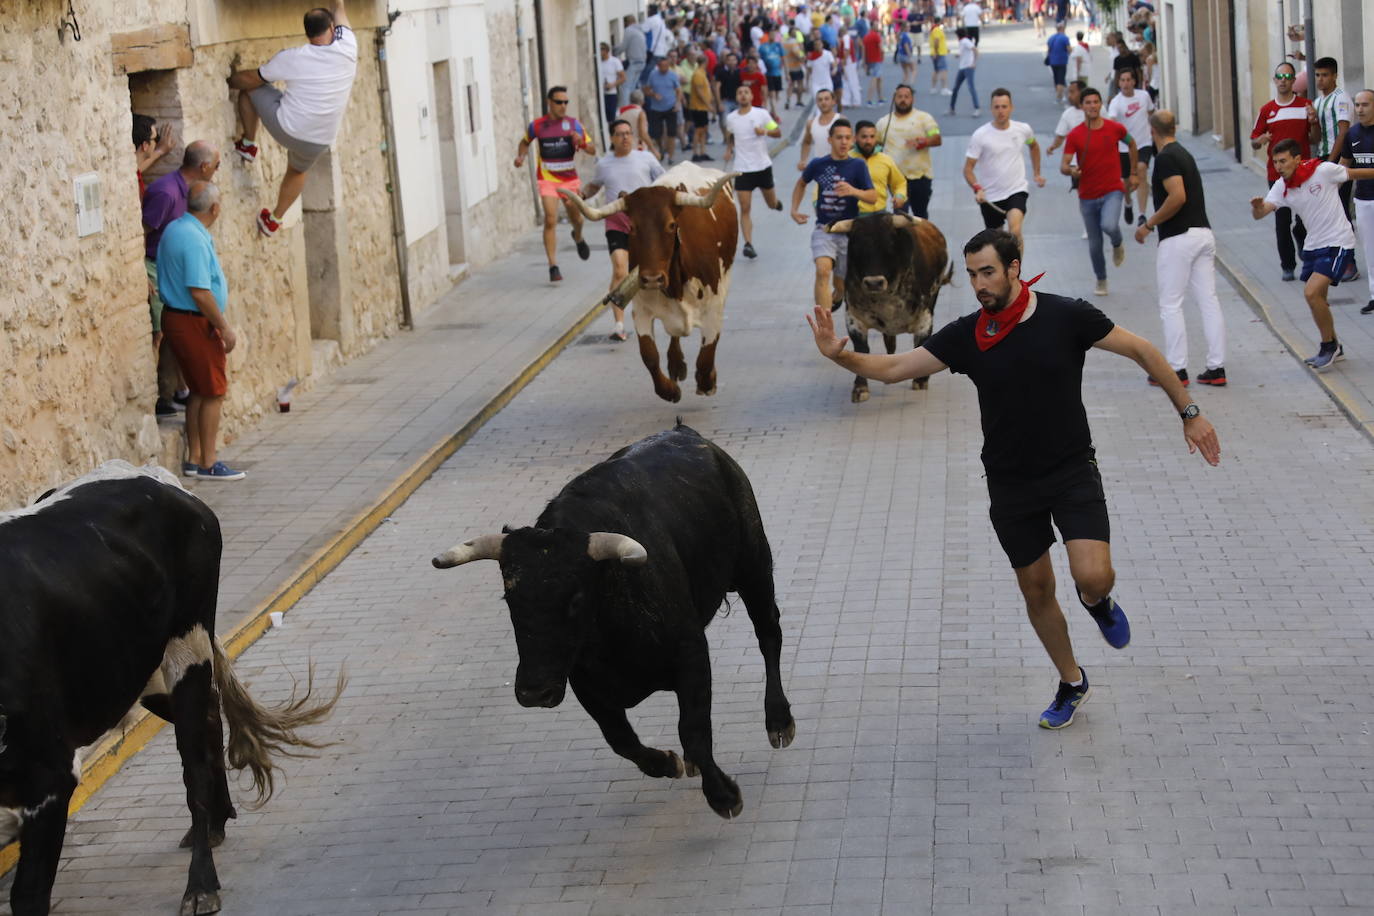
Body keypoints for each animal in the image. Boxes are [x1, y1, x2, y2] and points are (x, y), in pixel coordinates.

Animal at [0, 466, 340, 916]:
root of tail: (149, 475)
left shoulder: (50, 779)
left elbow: (29, 895)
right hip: (142, 673)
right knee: (211, 718)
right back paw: (216, 823)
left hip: (187, 646)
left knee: (194, 765)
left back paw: (201, 884)